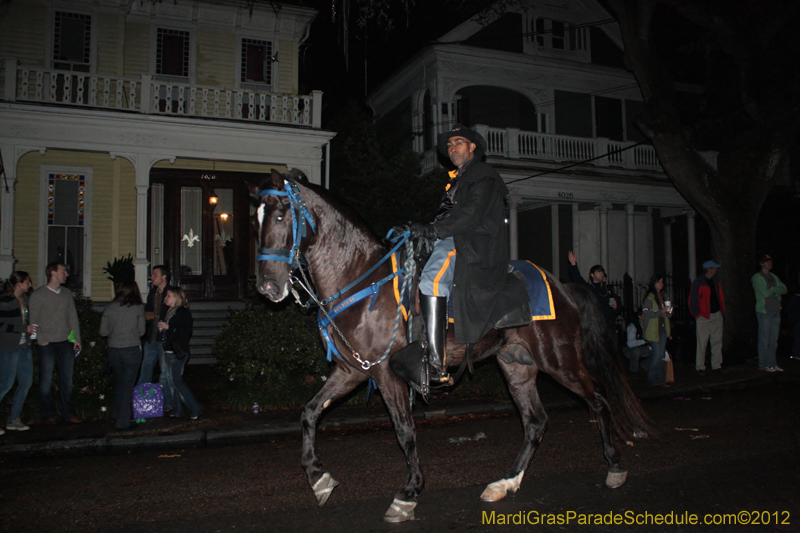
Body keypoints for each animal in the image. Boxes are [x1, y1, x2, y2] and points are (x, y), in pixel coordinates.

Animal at [256, 171, 648, 524]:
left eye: (280, 216)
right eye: (257, 218)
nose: (267, 287)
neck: (362, 281)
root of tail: (562, 286)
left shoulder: (387, 373)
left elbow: (404, 431)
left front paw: (408, 493)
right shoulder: (352, 370)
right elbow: (309, 412)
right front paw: (317, 476)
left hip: (560, 360)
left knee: (598, 400)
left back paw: (614, 467)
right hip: (517, 366)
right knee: (536, 422)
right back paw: (505, 483)